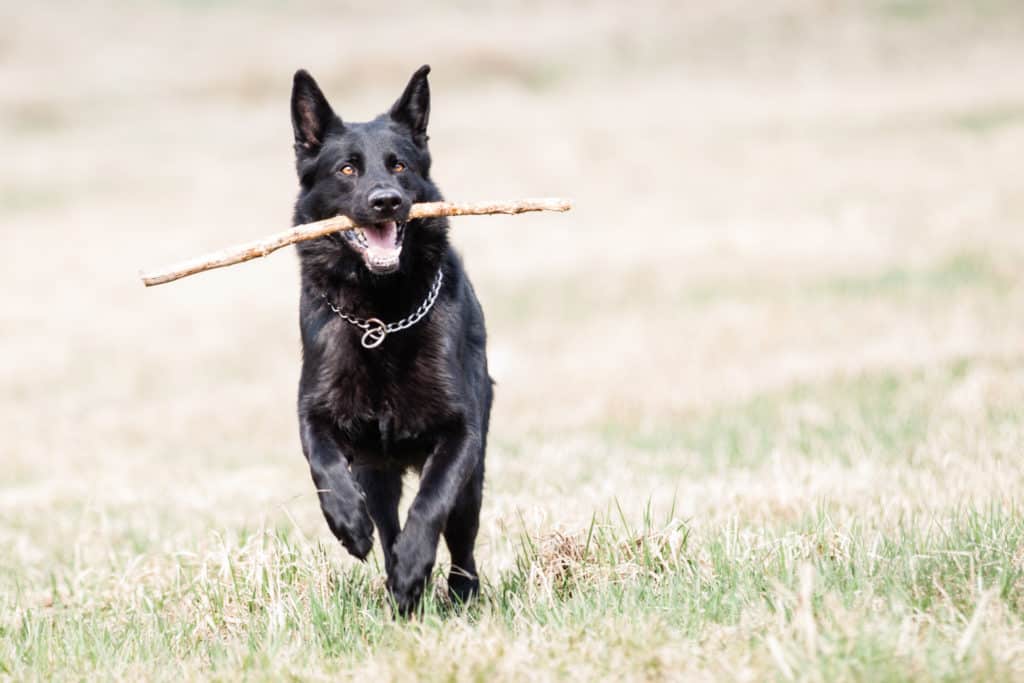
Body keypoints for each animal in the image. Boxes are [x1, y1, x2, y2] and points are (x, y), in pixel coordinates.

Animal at [290, 66, 493, 618]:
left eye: (398, 165)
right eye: (346, 170)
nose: (386, 200)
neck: (380, 315)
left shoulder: (461, 433)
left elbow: (431, 504)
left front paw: (413, 571)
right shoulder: (315, 412)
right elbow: (322, 464)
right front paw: (347, 523)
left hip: (473, 477)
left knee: (461, 536)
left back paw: (456, 590)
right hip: (376, 473)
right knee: (385, 526)